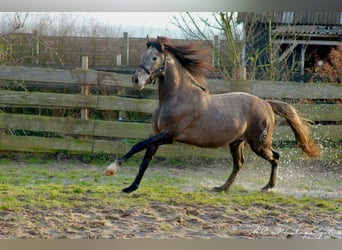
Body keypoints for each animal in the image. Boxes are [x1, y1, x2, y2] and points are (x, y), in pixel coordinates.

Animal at [103, 36, 320, 193]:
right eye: (143, 55)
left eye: (154, 58)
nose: (136, 80)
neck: (177, 99)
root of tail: (266, 103)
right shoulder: (155, 136)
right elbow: (144, 161)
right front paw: (130, 188)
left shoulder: (168, 135)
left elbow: (136, 146)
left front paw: (112, 168)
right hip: (236, 143)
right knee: (239, 164)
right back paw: (222, 187)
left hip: (259, 144)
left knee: (275, 157)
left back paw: (268, 187)